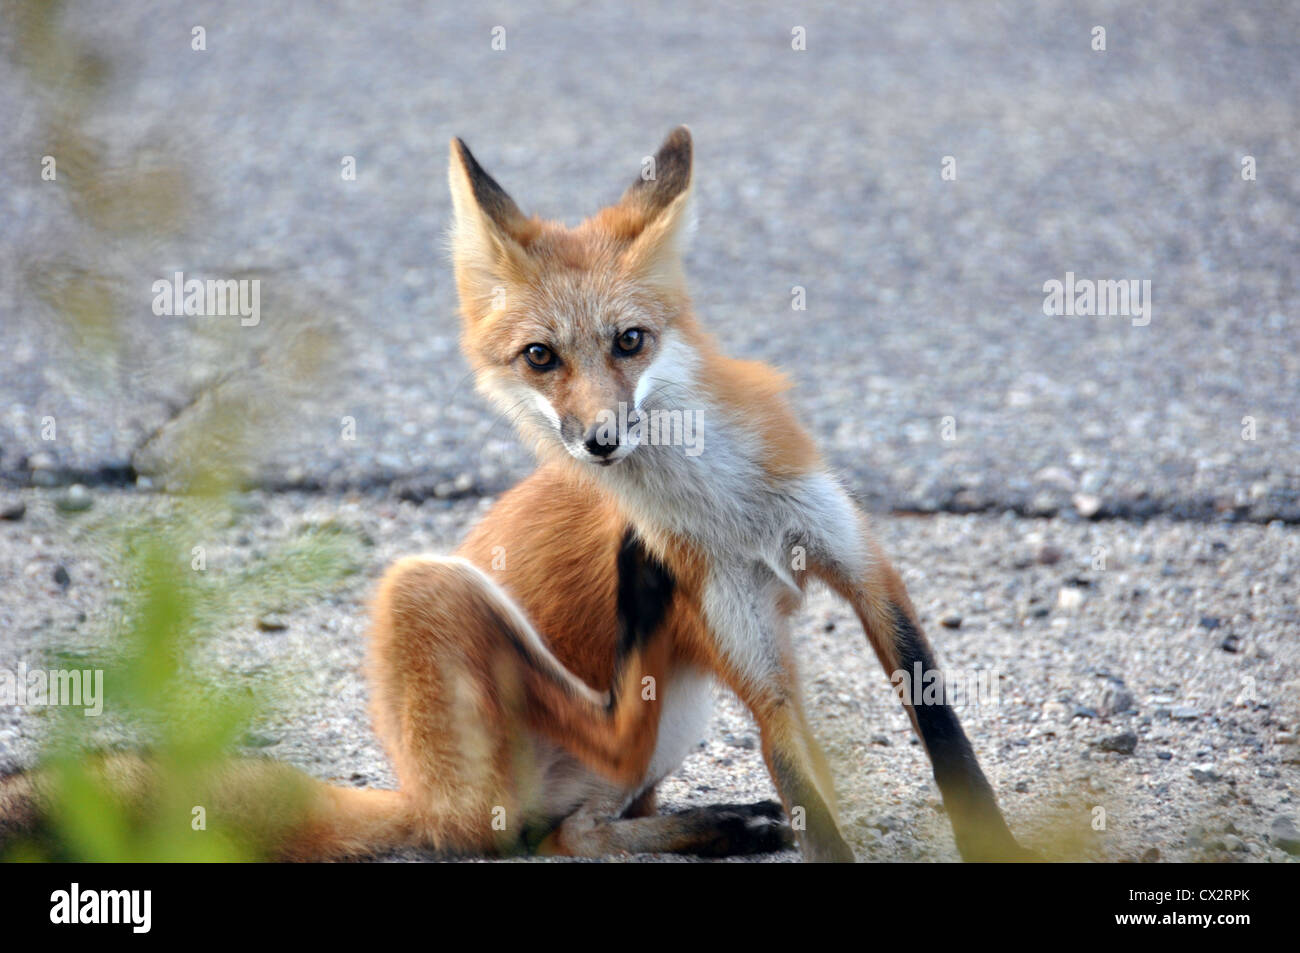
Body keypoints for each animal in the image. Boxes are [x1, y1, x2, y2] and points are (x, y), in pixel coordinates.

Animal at [0, 127, 1030, 863]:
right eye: (541, 357)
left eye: (629, 342)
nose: (601, 440)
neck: (729, 506)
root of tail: (420, 793)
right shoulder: (749, 651)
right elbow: (807, 791)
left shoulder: (861, 561)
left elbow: (946, 734)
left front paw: (999, 844)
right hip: (428, 590)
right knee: (555, 802)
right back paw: (646, 637)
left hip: (668, 721)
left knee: (578, 830)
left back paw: (711, 822)